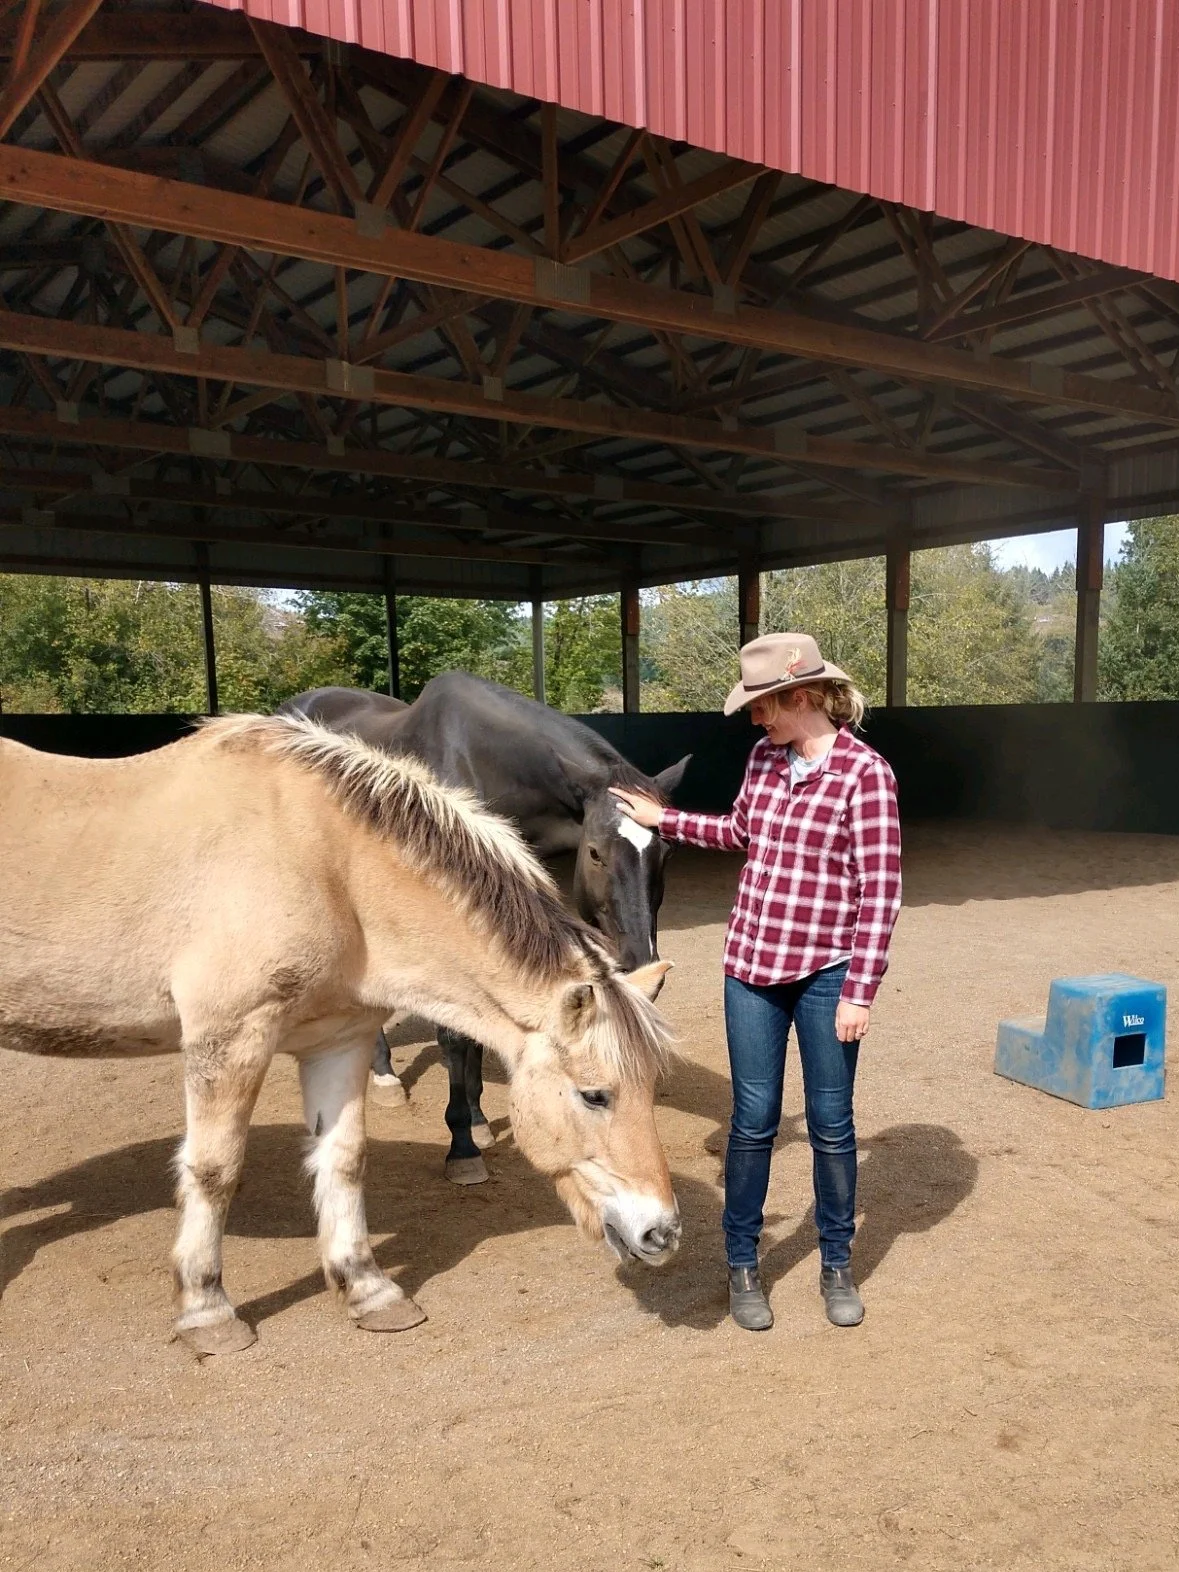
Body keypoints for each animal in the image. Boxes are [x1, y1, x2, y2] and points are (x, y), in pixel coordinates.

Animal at [0, 715, 679, 1355]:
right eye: (594, 1095)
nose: (663, 1232)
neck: (327, 864)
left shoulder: (339, 1042)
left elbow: (343, 1160)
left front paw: (368, 1290)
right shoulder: (230, 1038)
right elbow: (214, 1168)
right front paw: (207, 1310)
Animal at [283, 673, 690, 1182]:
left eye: (667, 852)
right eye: (595, 852)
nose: (640, 961)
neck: (480, 765)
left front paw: (477, 1119)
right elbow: (455, 1035)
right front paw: (462, 1146)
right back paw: (383, 1076)